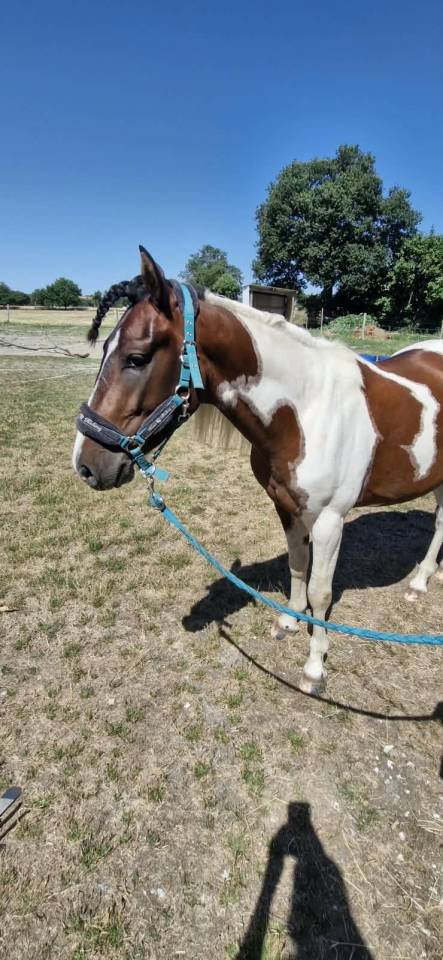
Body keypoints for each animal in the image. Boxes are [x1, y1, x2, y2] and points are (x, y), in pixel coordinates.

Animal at [73, 246, 443, 694]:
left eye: (136, 358)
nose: (86, 465)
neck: (305, 409)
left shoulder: (330, 521)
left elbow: (321, 591)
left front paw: (315, 666)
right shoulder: (286, 506)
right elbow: (297, 566)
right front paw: (288, 622)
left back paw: (419, 582)